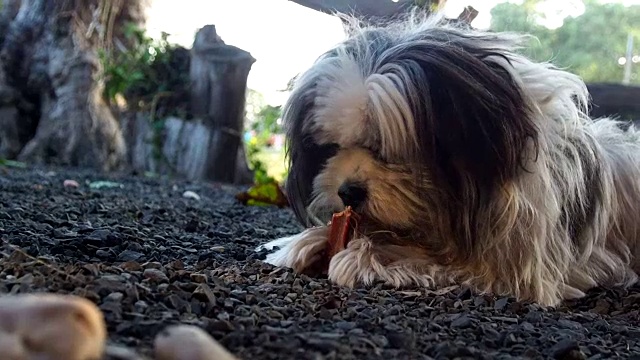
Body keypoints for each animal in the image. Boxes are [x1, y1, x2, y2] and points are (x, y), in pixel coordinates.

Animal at [255, 10, 640, 306]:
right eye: (332, 148)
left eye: (385, 148)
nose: (347, 192)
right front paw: (309, 240)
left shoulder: (517, 269)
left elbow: (442, 259)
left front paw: (371, 254)